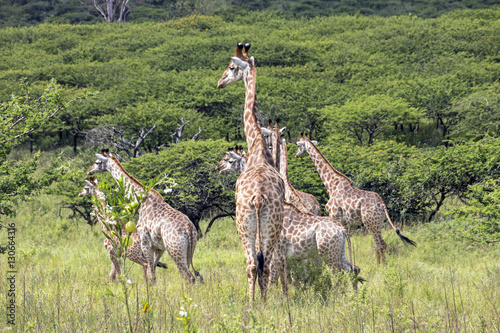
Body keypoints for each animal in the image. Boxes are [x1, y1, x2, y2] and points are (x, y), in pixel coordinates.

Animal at [87, 150, 202, 282]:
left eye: (97, 162)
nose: (89, 171)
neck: (142, 200)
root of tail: (189, 229)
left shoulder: (145, 242)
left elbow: (150, 276)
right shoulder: (158, 248)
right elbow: (152, 273)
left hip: (174, 251)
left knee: (188, 277)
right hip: (189, 251)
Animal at [217, 42, 288, 304]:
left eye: (231, 67)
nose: (220, 83)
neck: (256, 146)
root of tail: (257, 197)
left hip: (245, 224)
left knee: (254, 264)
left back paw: (254, 305)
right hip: (264, 224)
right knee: (262, 264)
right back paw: (260, 304)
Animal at [294, 134, 416, 264]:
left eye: (298, 145)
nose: (296, 155)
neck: (331, 185)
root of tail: (382, 204)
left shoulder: (334, 215)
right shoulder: (343, 221)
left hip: (370, 222)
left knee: (379, 244)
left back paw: (379, 266)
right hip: (378, 223)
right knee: (382, 244)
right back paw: (382, 264)